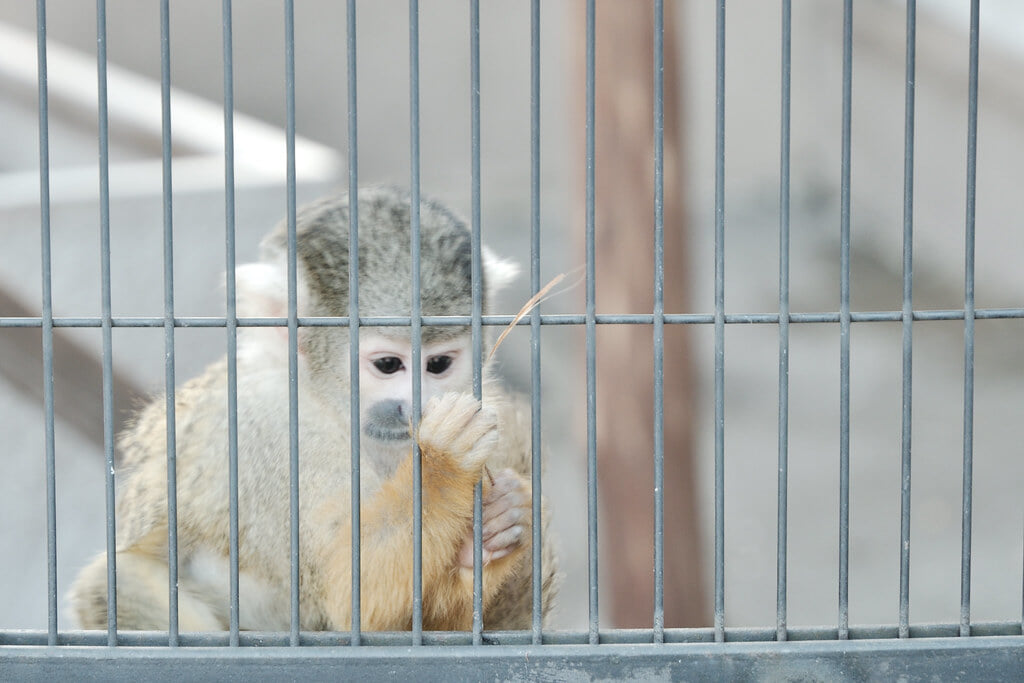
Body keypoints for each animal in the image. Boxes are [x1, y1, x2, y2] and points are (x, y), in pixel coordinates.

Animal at [70, 185, 561, 630]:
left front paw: (501, 522)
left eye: (438, 365)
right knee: (117, 583)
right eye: (388, 365)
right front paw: (442, 466)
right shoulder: (270, 421)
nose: (415, 408)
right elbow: (350, 593)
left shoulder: (498, 416)